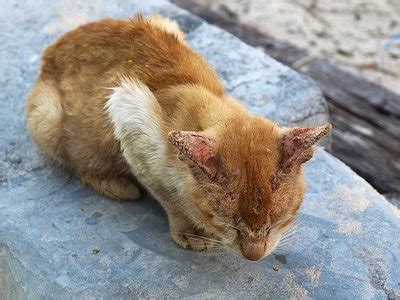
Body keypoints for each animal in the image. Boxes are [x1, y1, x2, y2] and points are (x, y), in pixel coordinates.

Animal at [25, 14, 332, 260]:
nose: (254, 256)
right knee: (78, 164)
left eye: (276, 221)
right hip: (47, 120)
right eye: (229, 225)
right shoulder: (126, 113)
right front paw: (191, 232)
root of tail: (53, 47)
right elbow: (169, 199)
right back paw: (117, 185)